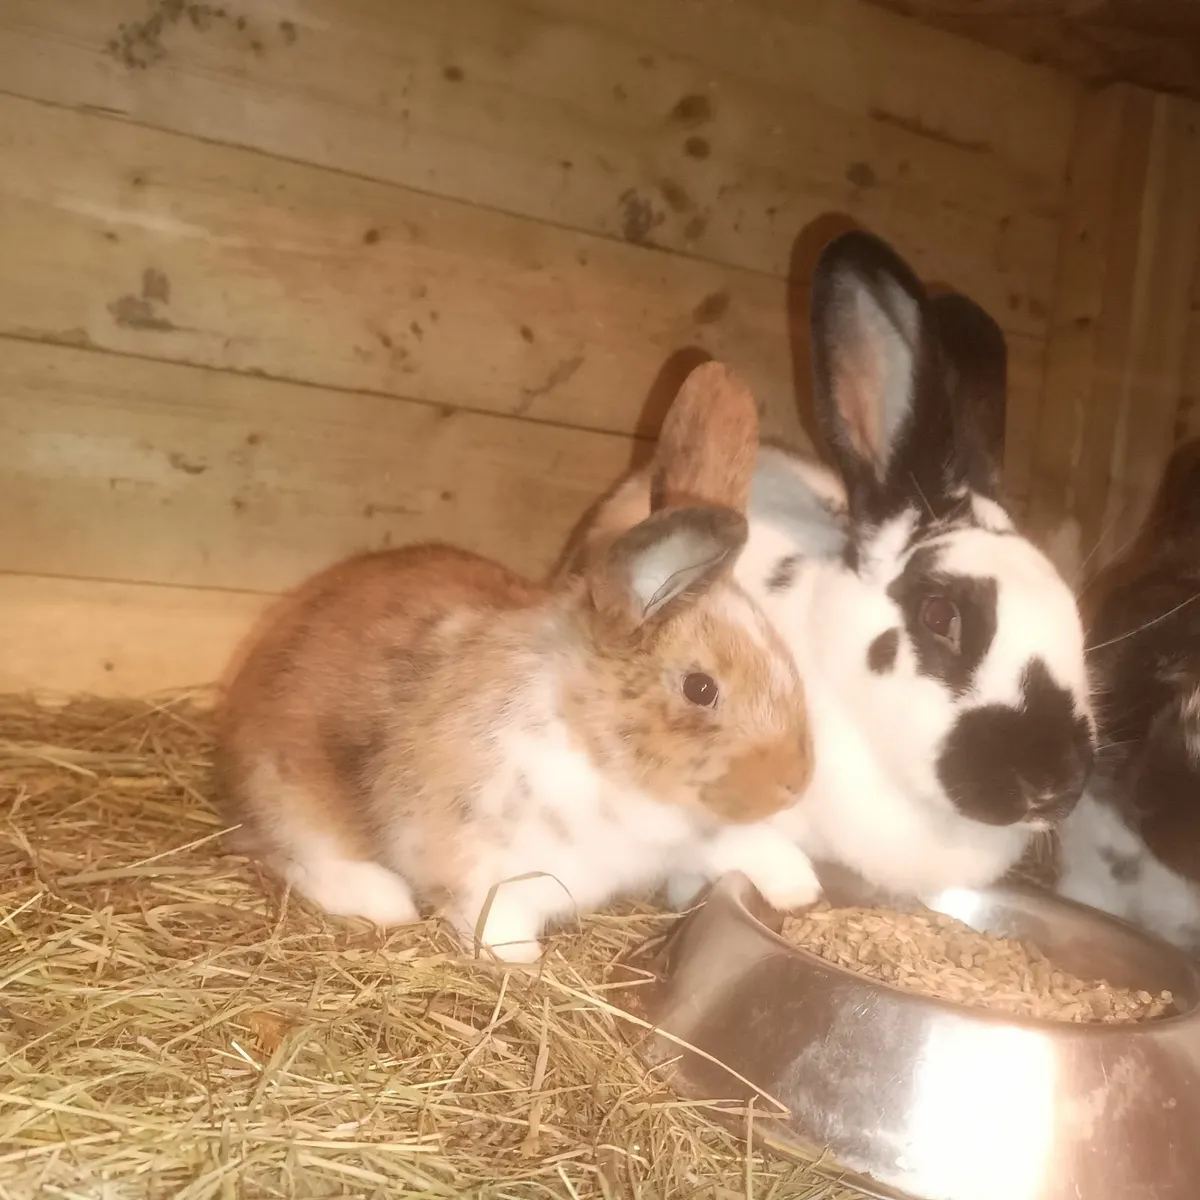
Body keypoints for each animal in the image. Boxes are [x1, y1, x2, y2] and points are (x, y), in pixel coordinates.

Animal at [215, 361, 821, 963]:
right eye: (700, 688)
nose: (795, 786)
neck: (594, 748)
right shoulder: (477, 852)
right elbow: (488, 906)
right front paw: (518, 956)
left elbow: (745, 847)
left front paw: (800, 887)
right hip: (292, 799)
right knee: (294, 854)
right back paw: (383, 900)